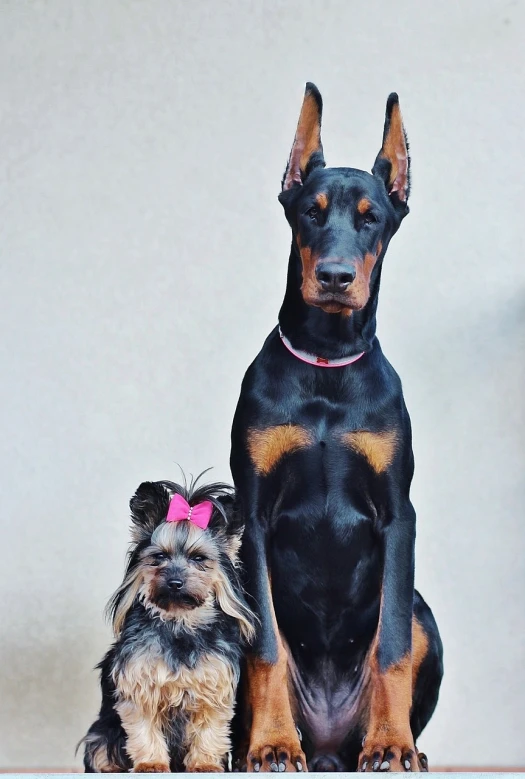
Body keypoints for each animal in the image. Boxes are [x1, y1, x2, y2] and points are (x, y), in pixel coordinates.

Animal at [229, 85, 442, 772]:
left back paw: (400, 747)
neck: (326, 362)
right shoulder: (253, 515)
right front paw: (271, 745)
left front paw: (391, 744)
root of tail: (327, 746)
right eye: (310, 213)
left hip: (425, 611)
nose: (336, 277)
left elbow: (391, 646)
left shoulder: (398, 513)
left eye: (372, 218)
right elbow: (266, 648)